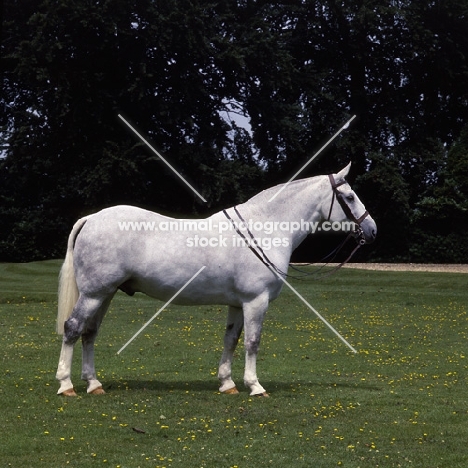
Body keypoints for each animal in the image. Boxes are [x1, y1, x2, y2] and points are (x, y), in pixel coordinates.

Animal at [55, 163, 376, 396]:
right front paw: (255, 386)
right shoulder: (256, 301)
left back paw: (94, 384)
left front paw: (227, 384)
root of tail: (91, 218)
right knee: (73, 328)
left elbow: (231, 340)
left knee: (89, 333)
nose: (371, 229)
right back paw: (66, 385)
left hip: (105, 294)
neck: (265, 227)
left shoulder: (237, 303)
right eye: (349, 197)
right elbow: (252, 342)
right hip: (94, 294)